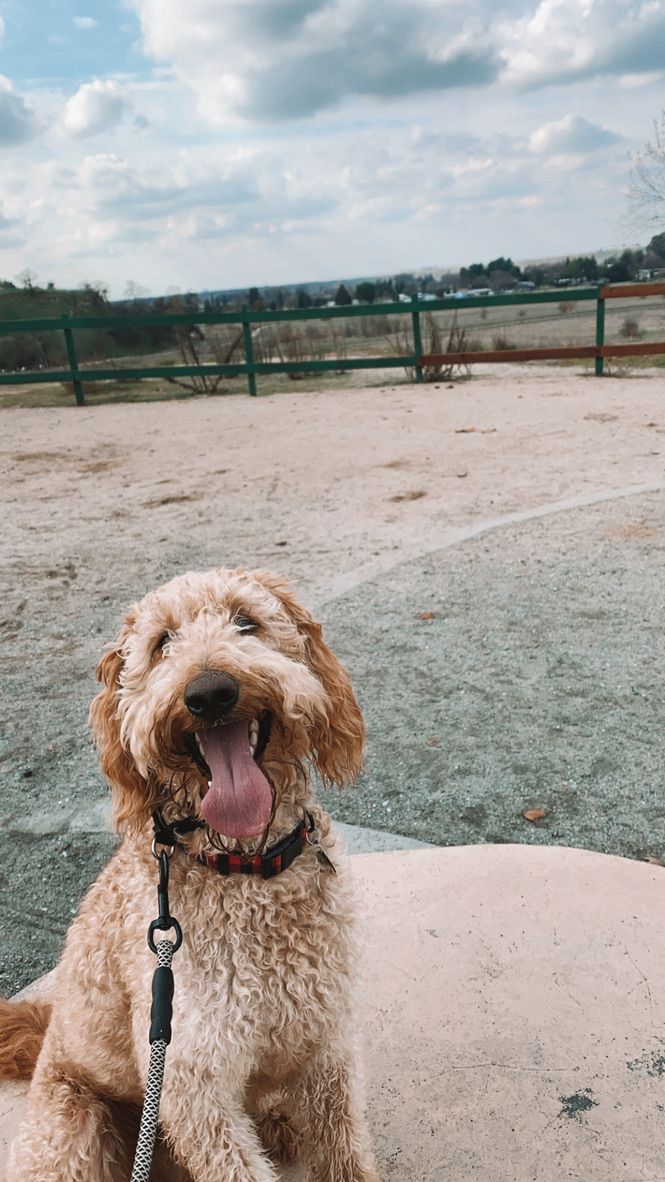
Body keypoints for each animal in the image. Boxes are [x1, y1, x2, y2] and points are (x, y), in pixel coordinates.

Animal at [1, 567, 380, 1177]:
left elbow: (344, 1150)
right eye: (162, 644)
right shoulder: (190, 1080)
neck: (245, 868)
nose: (209, 693)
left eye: (246, 621)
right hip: (71, 1131)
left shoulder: (325, 1044)